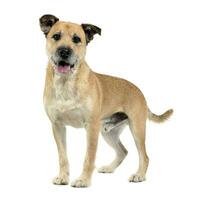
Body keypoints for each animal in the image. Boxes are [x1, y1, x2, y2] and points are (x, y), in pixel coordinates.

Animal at [39, 14, 173, 188]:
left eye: (77, 39)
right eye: (56, 36)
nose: (64, 51)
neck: (66, 83)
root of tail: (139, 91)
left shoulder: (91, 127)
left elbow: (89, 157)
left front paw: (83, 180)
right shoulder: (58, 126)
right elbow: (63, 157)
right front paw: (63, 177)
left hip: (136, 129)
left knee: (144, 156)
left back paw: (139, 175)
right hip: (108, 132)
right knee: (123, 151)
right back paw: (110, 168)